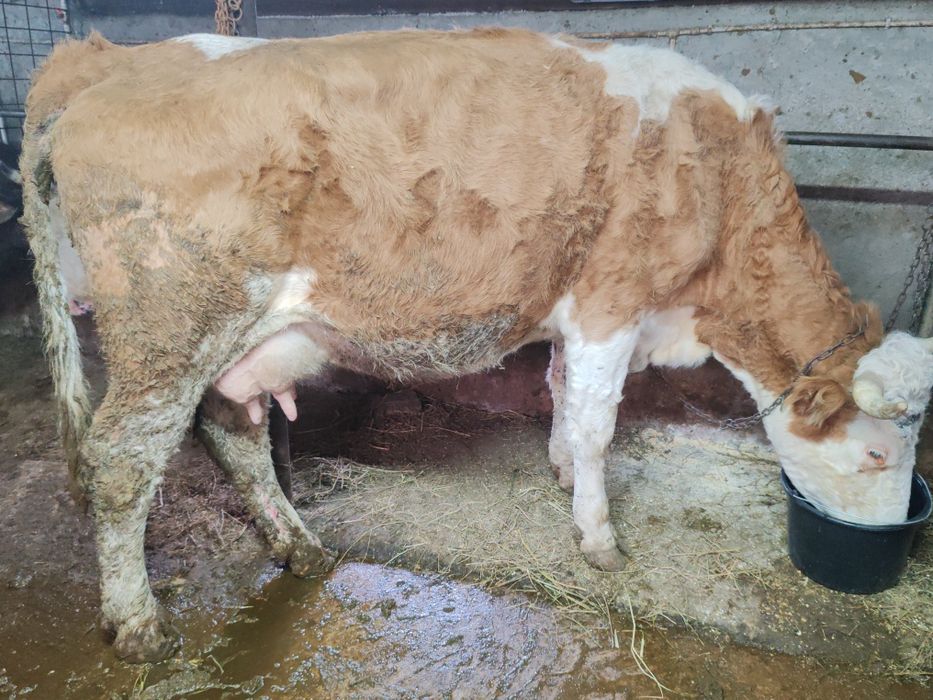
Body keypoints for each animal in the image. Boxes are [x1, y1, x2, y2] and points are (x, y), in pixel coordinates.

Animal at [20, 28, 933, 662]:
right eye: (879, 456)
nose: (894, 537)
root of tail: (102, 66)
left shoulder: (577, 311)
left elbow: (563, 392)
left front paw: (559, 470)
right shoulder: (611, 299)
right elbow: (598, 425)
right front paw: (597, 536)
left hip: (233, 338)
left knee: (232, 432)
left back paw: (297, 547)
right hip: (168, 328)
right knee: (122, 460)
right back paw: (137, 623)